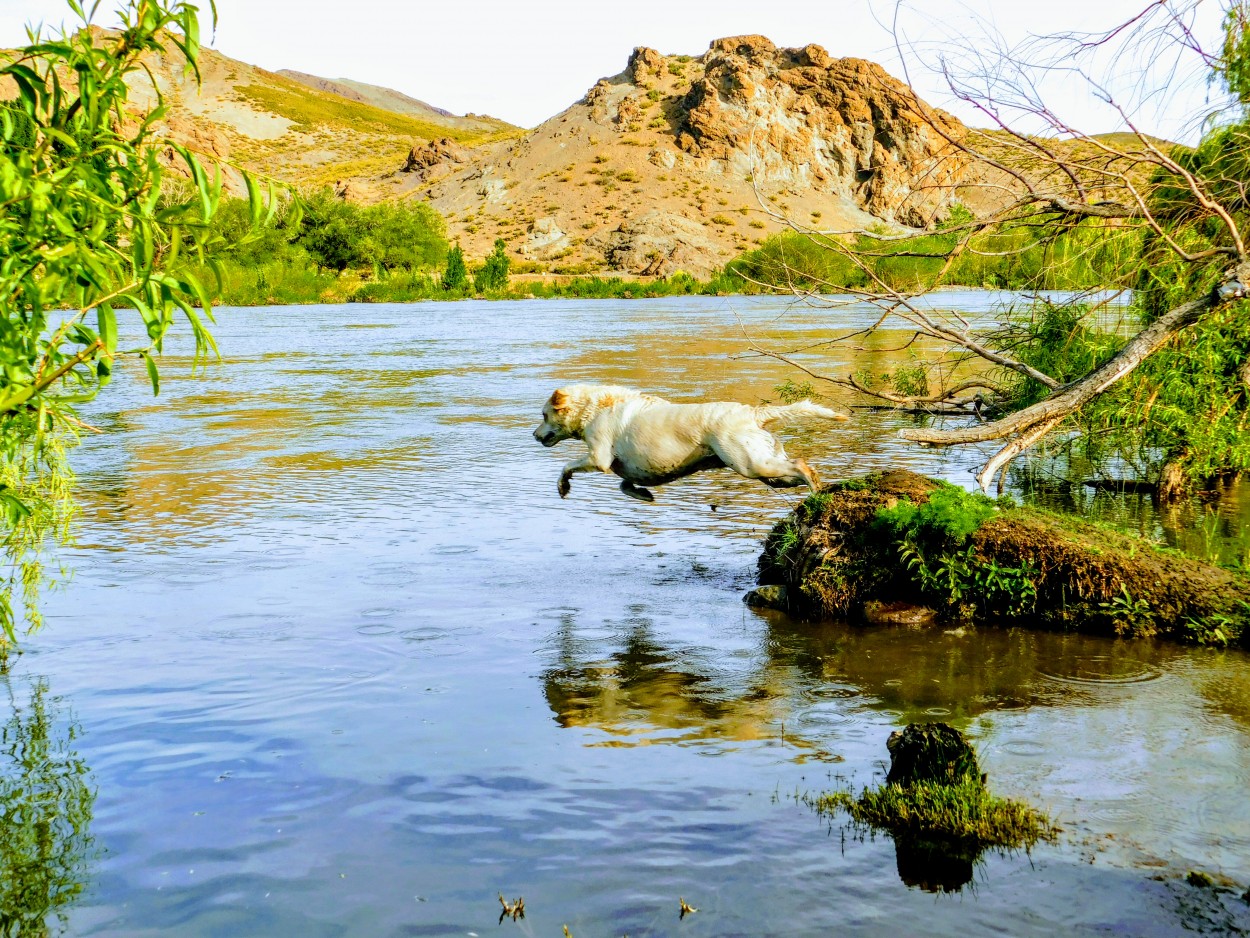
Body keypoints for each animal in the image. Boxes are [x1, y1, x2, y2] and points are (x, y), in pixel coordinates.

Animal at [530, 382, 850, 502]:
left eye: (544, 415)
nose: (534, 435)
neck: (594, 407)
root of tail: (752, 412)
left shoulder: (598, 458)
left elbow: (566, 466)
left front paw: (563, 486)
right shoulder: (625, 467)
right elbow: (624, 485)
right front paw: (643, 495)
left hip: (751, 463)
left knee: (801, 466)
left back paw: (815, 489)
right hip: (768, 470)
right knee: (799, 466)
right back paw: (820, 488)